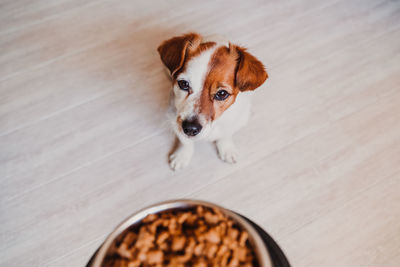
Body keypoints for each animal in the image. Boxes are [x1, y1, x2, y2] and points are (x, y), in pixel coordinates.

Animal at [158, 33, 268, 172]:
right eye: (183, 84)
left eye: (222, 94)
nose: (190, 128)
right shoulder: (174, 120)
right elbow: (185, 142)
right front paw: (182, 155)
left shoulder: (235, 122)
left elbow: (225, 135)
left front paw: (226, 149)